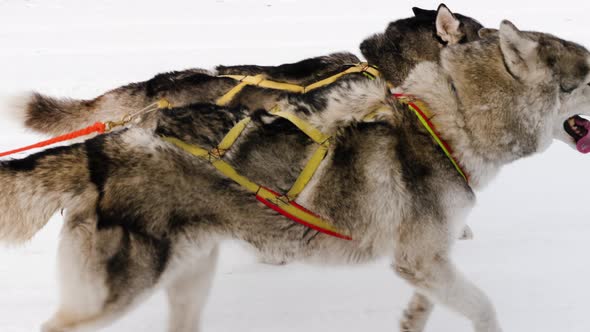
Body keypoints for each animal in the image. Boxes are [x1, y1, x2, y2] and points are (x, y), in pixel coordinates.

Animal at [1, 20, 590, 332]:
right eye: (587, 74)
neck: (448, 119)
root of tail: (99, 151)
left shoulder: (423, 263)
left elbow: (428, 304)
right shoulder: (423, 258)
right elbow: (483, 307)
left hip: (191, 273)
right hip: (119, 290)